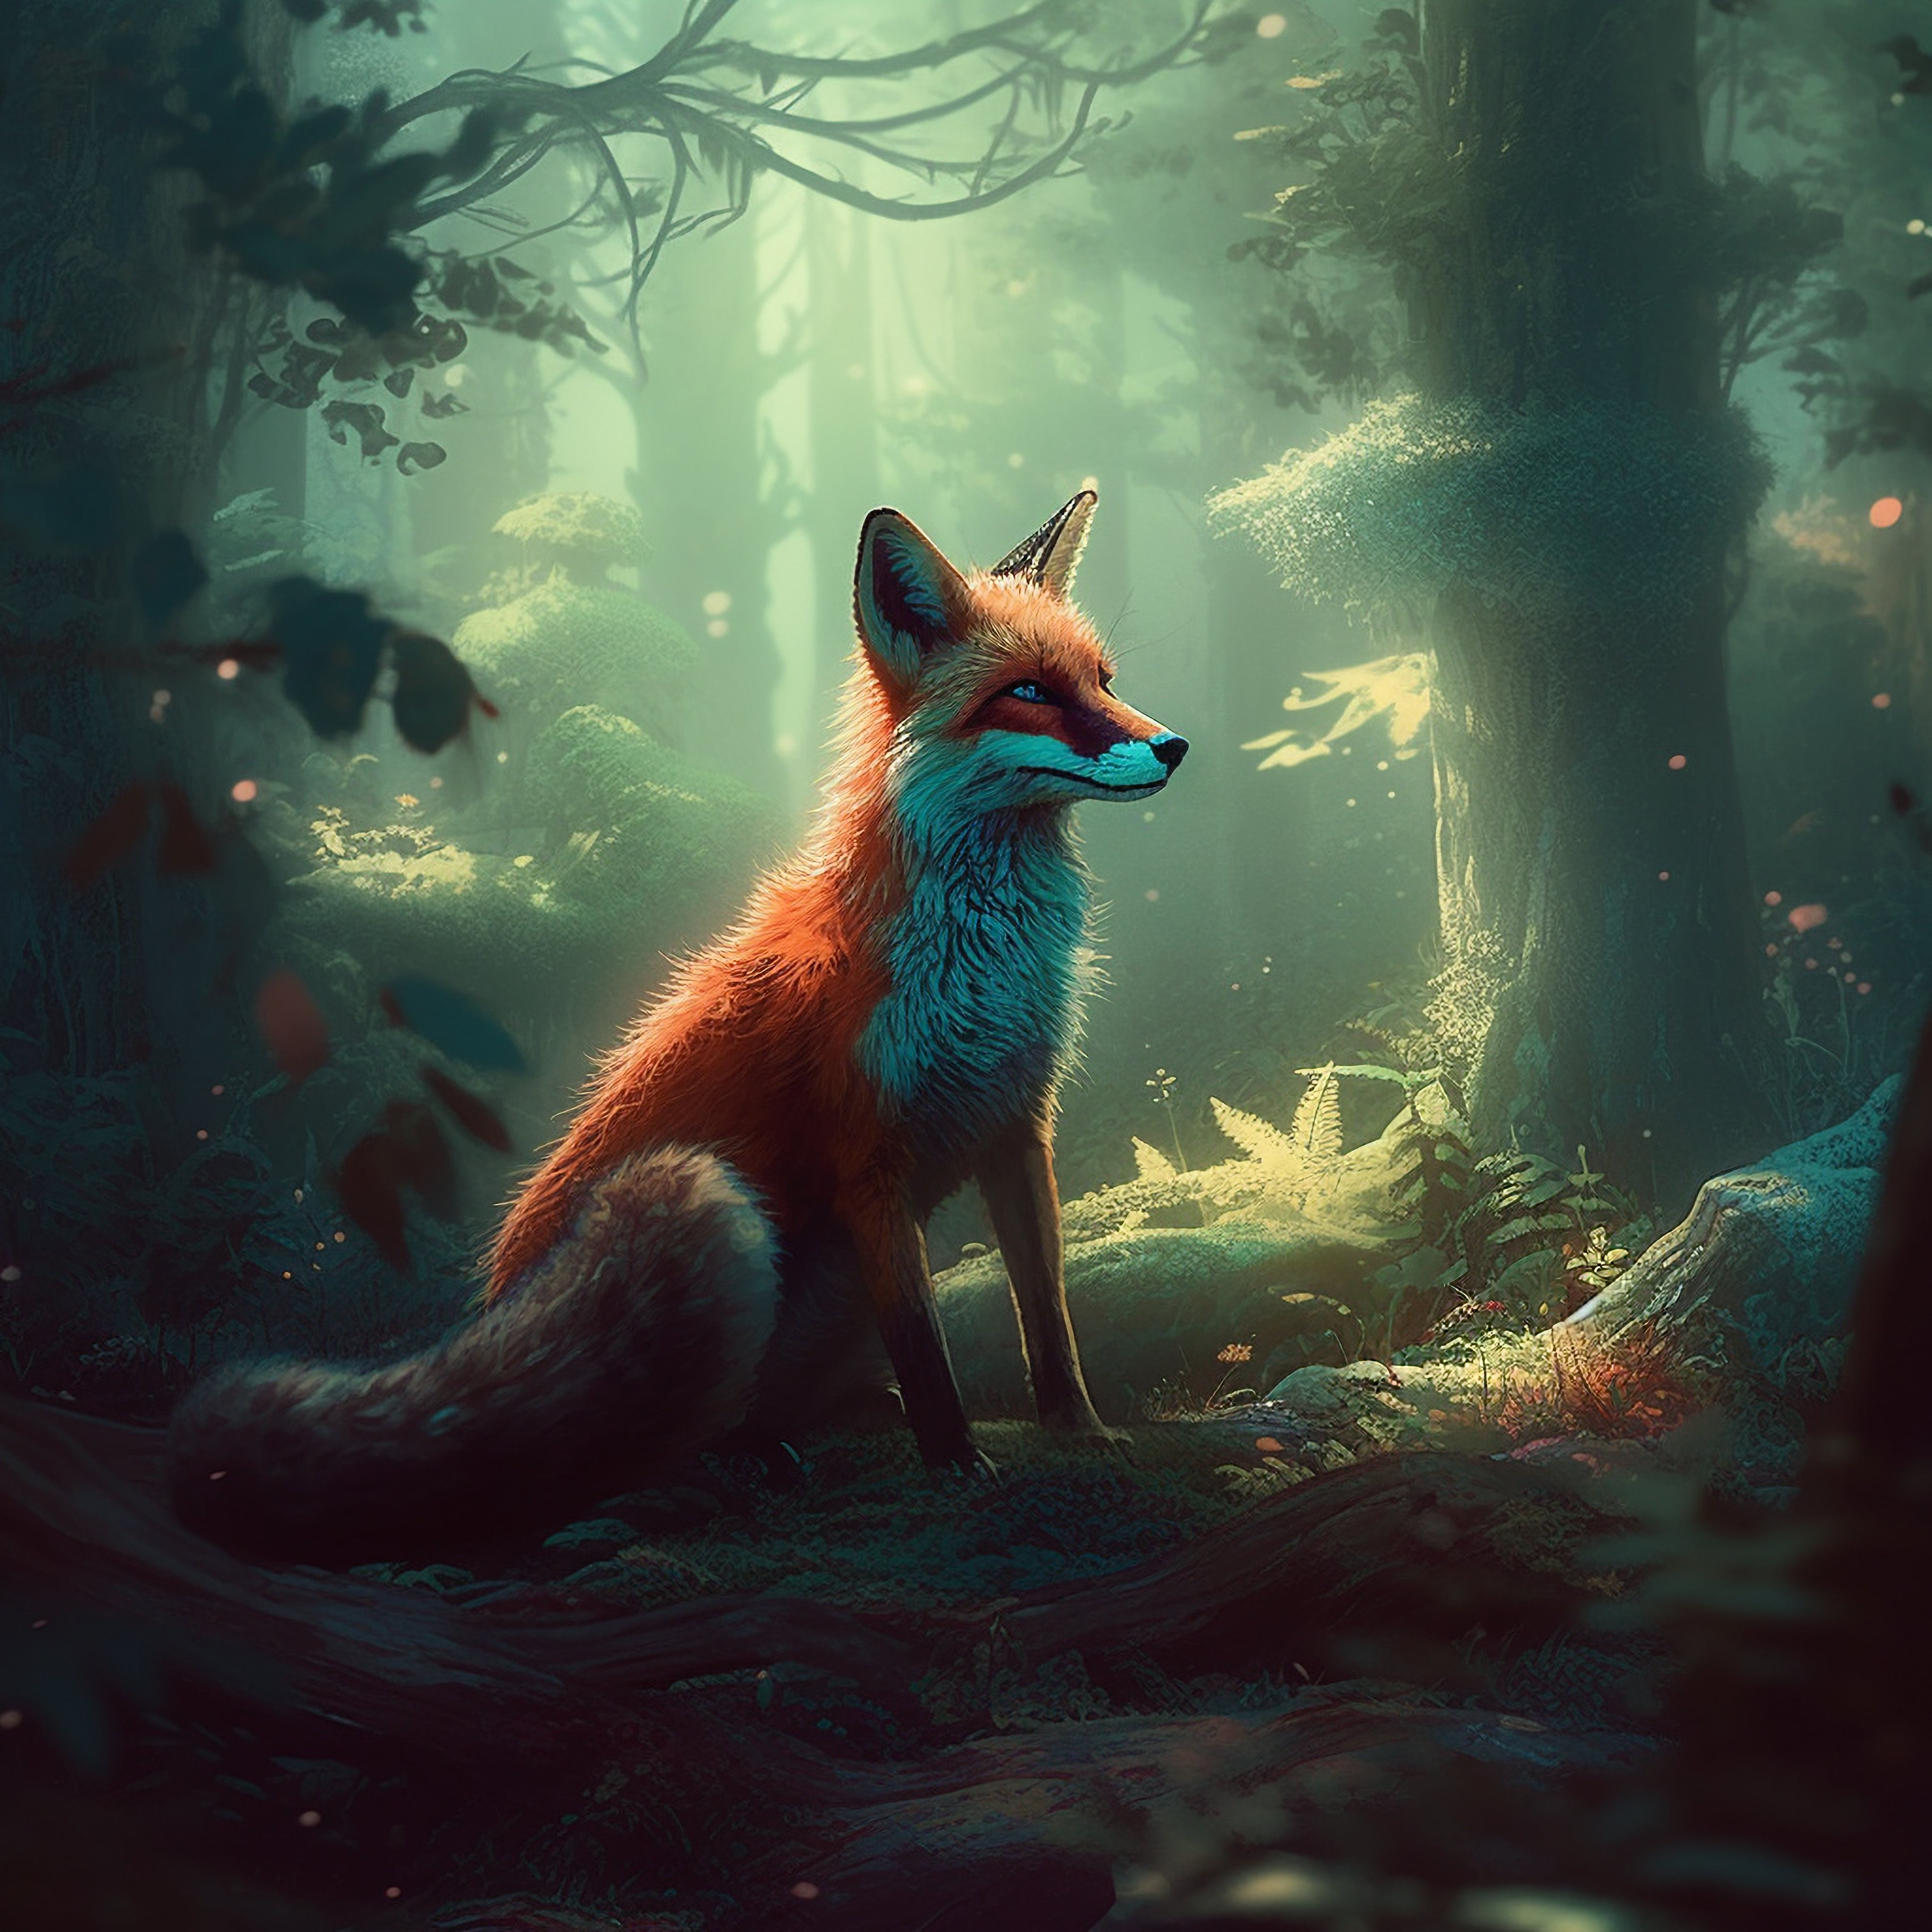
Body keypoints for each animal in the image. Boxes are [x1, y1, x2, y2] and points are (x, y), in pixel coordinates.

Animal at [169, 490, 1187, 1563]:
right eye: (1028, 692)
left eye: (1104, 681)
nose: (1172, 746)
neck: (976, 967)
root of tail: (490, 1312)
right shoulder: (865, 1159)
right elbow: (923, 1345)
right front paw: (954, 1464)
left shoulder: (1017, 1129)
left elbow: (1050, 1314)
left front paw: (1080, 1433)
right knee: (630, 1456)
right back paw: (721, 1462)